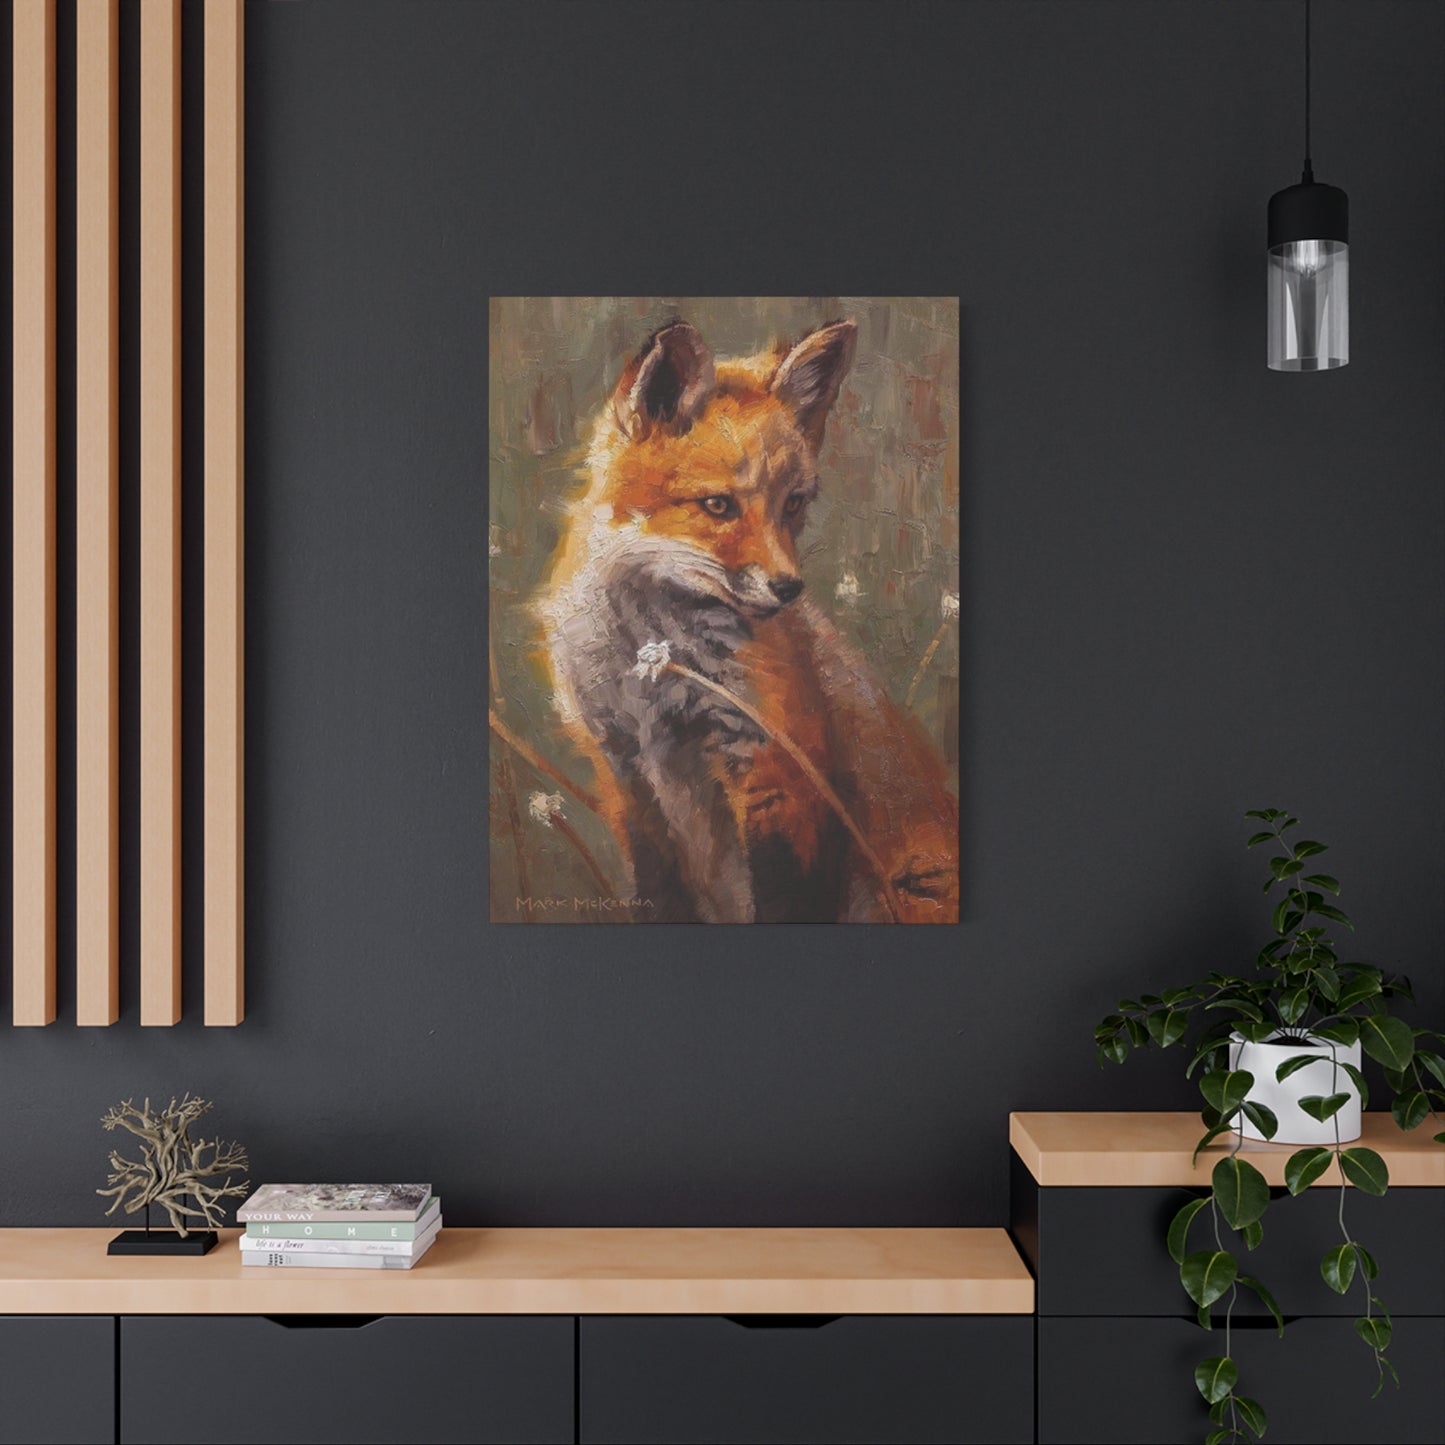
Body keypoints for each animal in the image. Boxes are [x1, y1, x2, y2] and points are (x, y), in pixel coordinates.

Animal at [537, 318, 959, 923]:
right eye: (718, 506)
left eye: (793, 504)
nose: (788, 589)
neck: (654, 666)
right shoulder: (623, 770)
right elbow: (657, 894)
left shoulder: (778, 767)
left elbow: (785, 899)